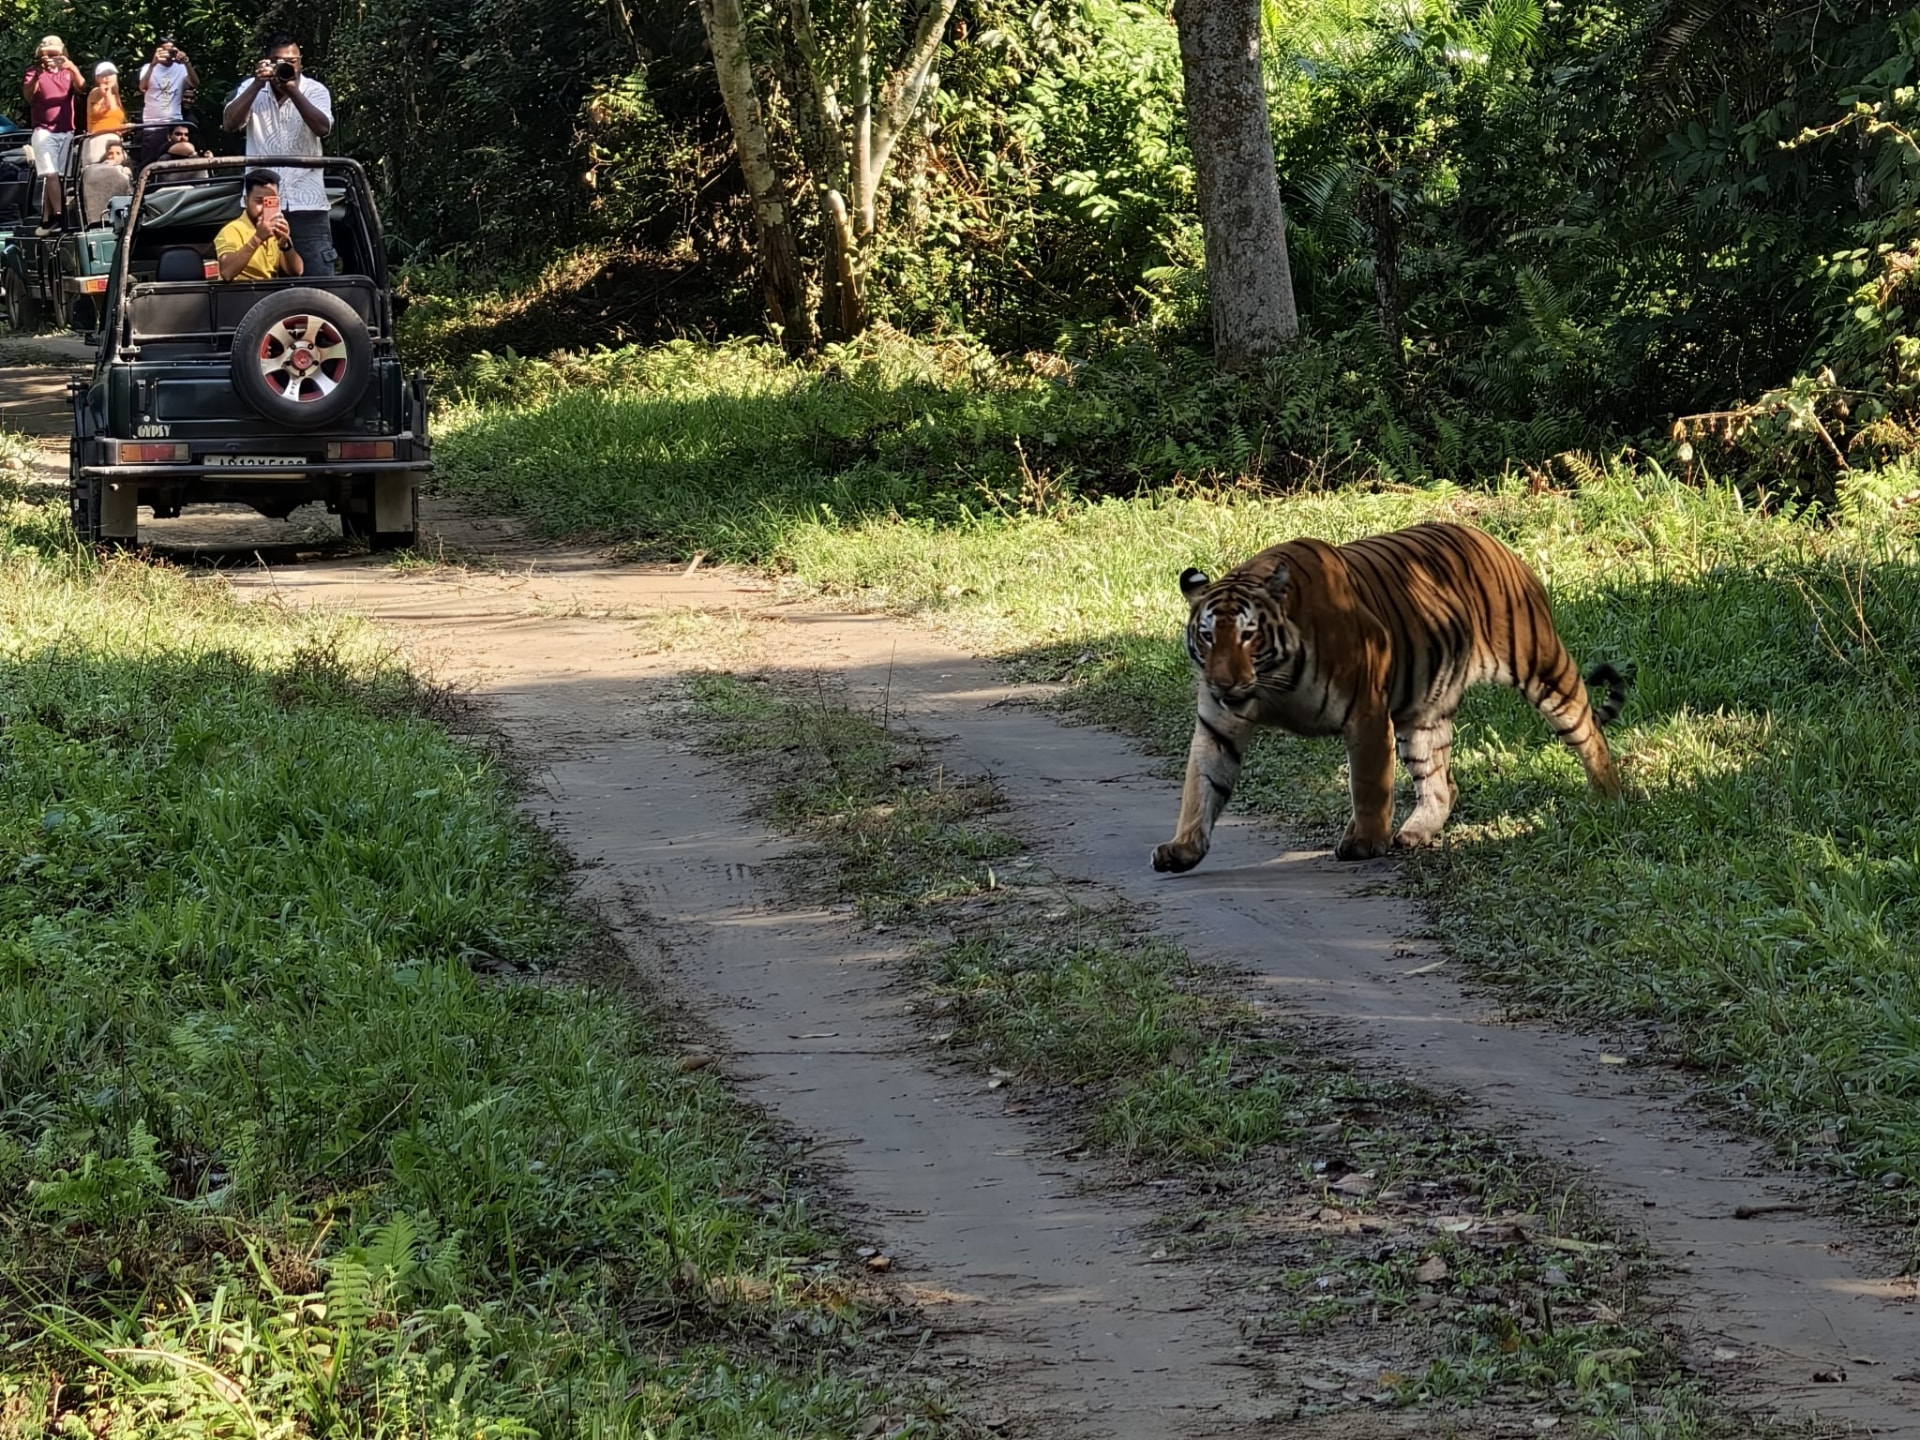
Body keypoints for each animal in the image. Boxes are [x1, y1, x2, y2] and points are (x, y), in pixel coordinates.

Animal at [1151, 520, 1628, 871]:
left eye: (1248, 636)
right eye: (1208, 636)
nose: (1222, 684)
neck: (1272, 680)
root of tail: (1492, 540)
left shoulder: (1366, 712)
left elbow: (1368, 783)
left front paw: (1364, 842)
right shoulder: (1217, 725)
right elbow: (1200, 786)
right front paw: (1182, 849)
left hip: (1542, 667)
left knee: (1586, 727)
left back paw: (1609, 797)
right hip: (1423, 715)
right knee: (1442, 784)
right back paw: (1414, 833)